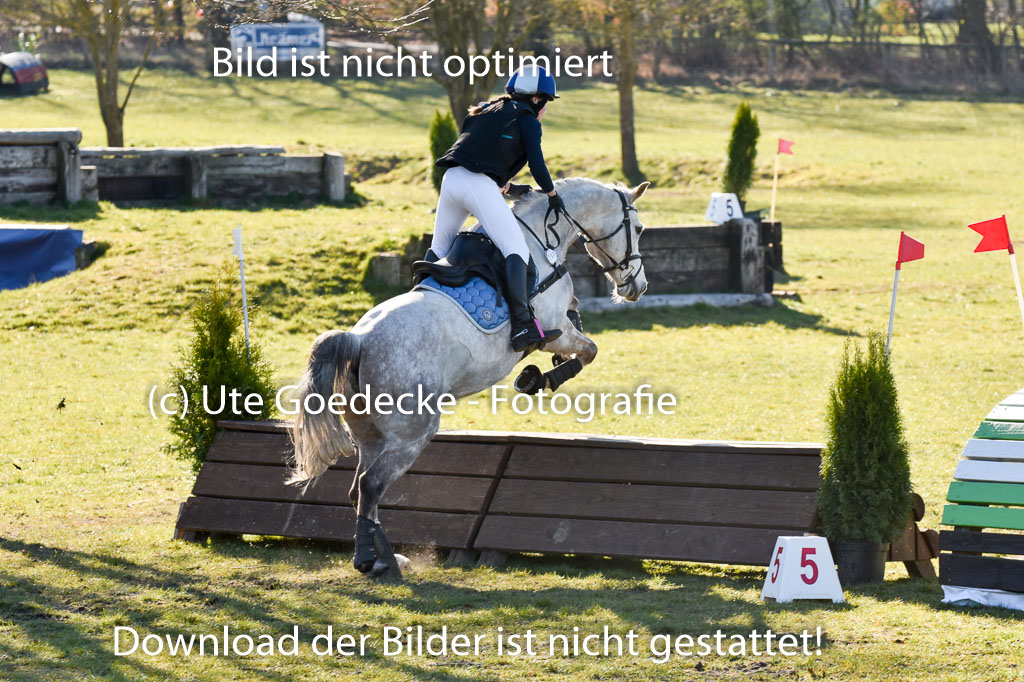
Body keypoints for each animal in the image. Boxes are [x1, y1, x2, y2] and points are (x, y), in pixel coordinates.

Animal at [287, 176, 651, 578]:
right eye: (638, 229)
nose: (637, 287)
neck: (543, 239)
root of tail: (360, 340)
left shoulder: (563, 323)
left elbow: (579, 324)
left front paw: (547, 370)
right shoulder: (555, 327)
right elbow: (588, 349)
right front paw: (539, 378)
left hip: (369, 435)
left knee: (360, 491)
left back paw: (386, 558)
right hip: (413, 431)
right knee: (370, 486)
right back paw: (375, 560)